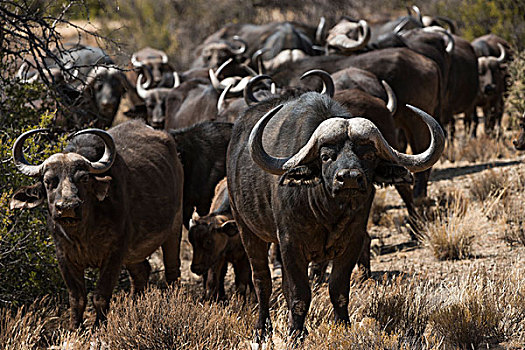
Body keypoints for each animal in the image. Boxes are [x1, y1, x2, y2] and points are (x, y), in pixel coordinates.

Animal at [227, 89, 444, 340]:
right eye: (325, 156)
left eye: (369, 155)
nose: (348, 178)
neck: (327, 213)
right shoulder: (290, 243)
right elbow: (300, 294)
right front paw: (295, 334)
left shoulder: (352, 242)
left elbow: (338, 290)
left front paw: (343, 327)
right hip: (247, 230)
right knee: (262, 281)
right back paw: (262, 329)